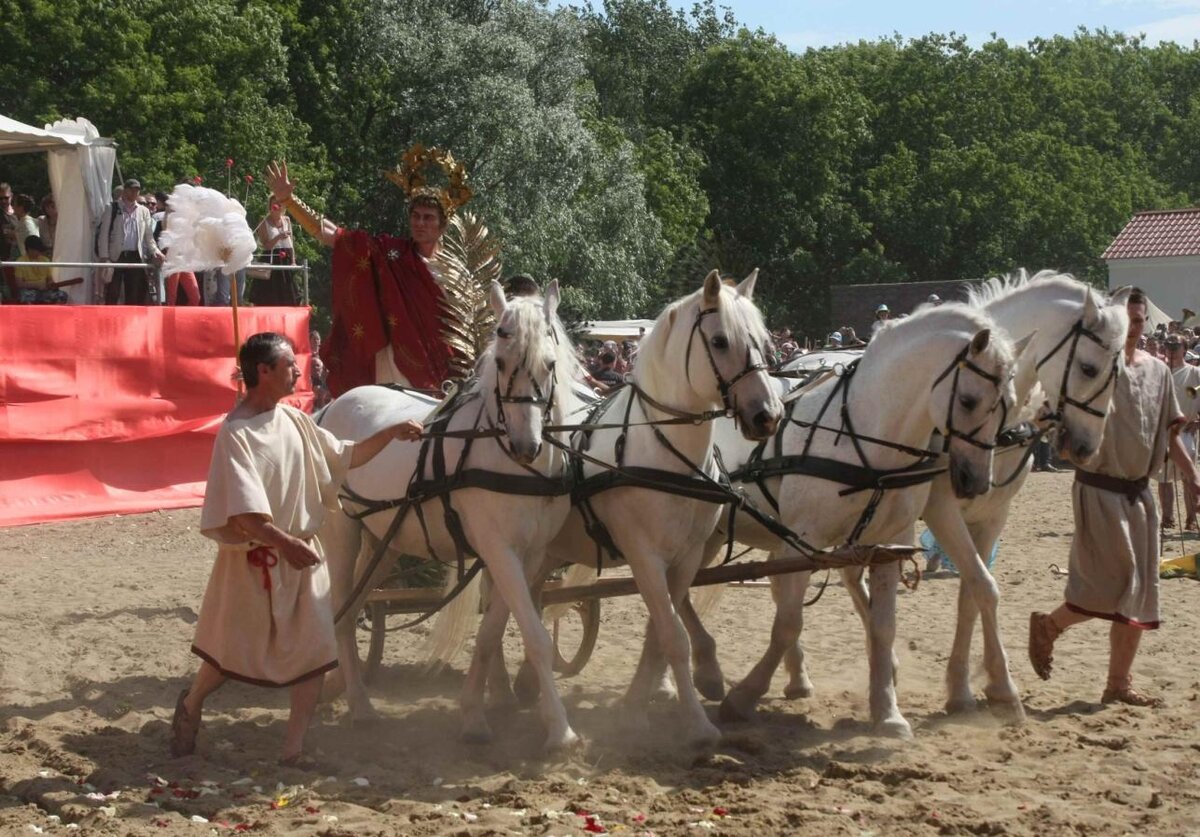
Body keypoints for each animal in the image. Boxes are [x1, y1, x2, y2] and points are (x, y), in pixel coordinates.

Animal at [314, 281, 585, 748]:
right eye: (500, 362)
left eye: (550, 364)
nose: (525, 445)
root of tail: (333, 406)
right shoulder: (500, 550)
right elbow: (533, 635)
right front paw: (560, 729)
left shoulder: (528, 555)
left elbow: (493, 631)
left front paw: (477, 712)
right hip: (342, 534)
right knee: (343, 615)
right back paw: (360, 706)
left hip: (384, 541)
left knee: (354, 608)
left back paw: (340, 690)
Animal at [453, 267, 782, 743]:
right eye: (721, 341)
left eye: (762, 340)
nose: (768, 416)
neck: (663, 450)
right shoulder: (644, 555)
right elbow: (672, 635)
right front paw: (697, 724)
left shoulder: (686, 557)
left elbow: (661, 633)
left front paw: (637, 706)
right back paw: (496, 693)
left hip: (541, 551)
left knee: (524, 602)